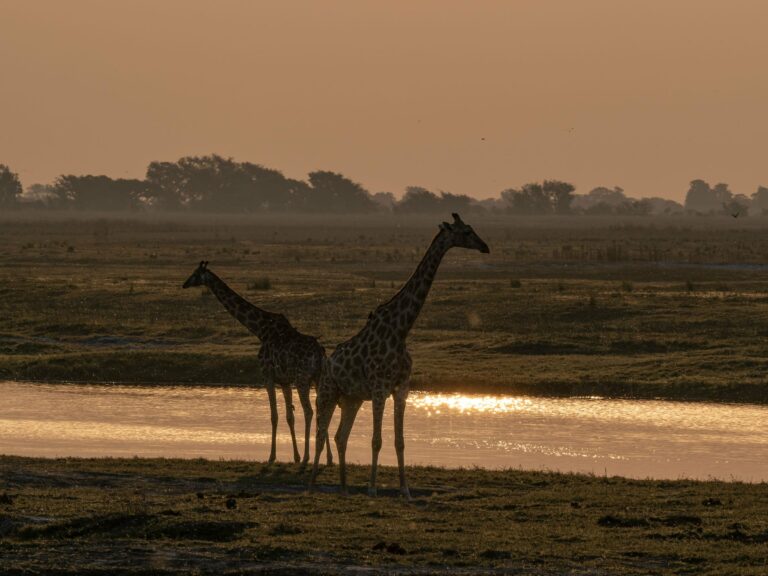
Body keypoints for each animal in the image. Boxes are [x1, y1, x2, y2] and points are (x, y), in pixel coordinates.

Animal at [183, 261, 332, 465]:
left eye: (195, 273)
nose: (184, 284)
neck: (260, 330)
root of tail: (320, 353)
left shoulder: (267, 376)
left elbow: (274, 416)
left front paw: (272, 456)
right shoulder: (284, 381)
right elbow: (289, 416)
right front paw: (294, 456)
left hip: (302, 379)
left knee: (309, 411)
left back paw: (308, 457)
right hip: (317, 378)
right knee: (322, 409)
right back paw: (327, 458)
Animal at [309, 213, 489, 498]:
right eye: (466, 232)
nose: (485, 247)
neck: (400, 329)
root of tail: (325, 365)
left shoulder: (401, 388)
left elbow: (399, 441)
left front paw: (405, 490)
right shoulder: (380, 388)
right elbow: (376, 440)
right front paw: (372, 489)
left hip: (351, 398)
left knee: (340, 436)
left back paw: (345, 487)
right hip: (327, 393)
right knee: (320, 433)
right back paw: (312, 484)